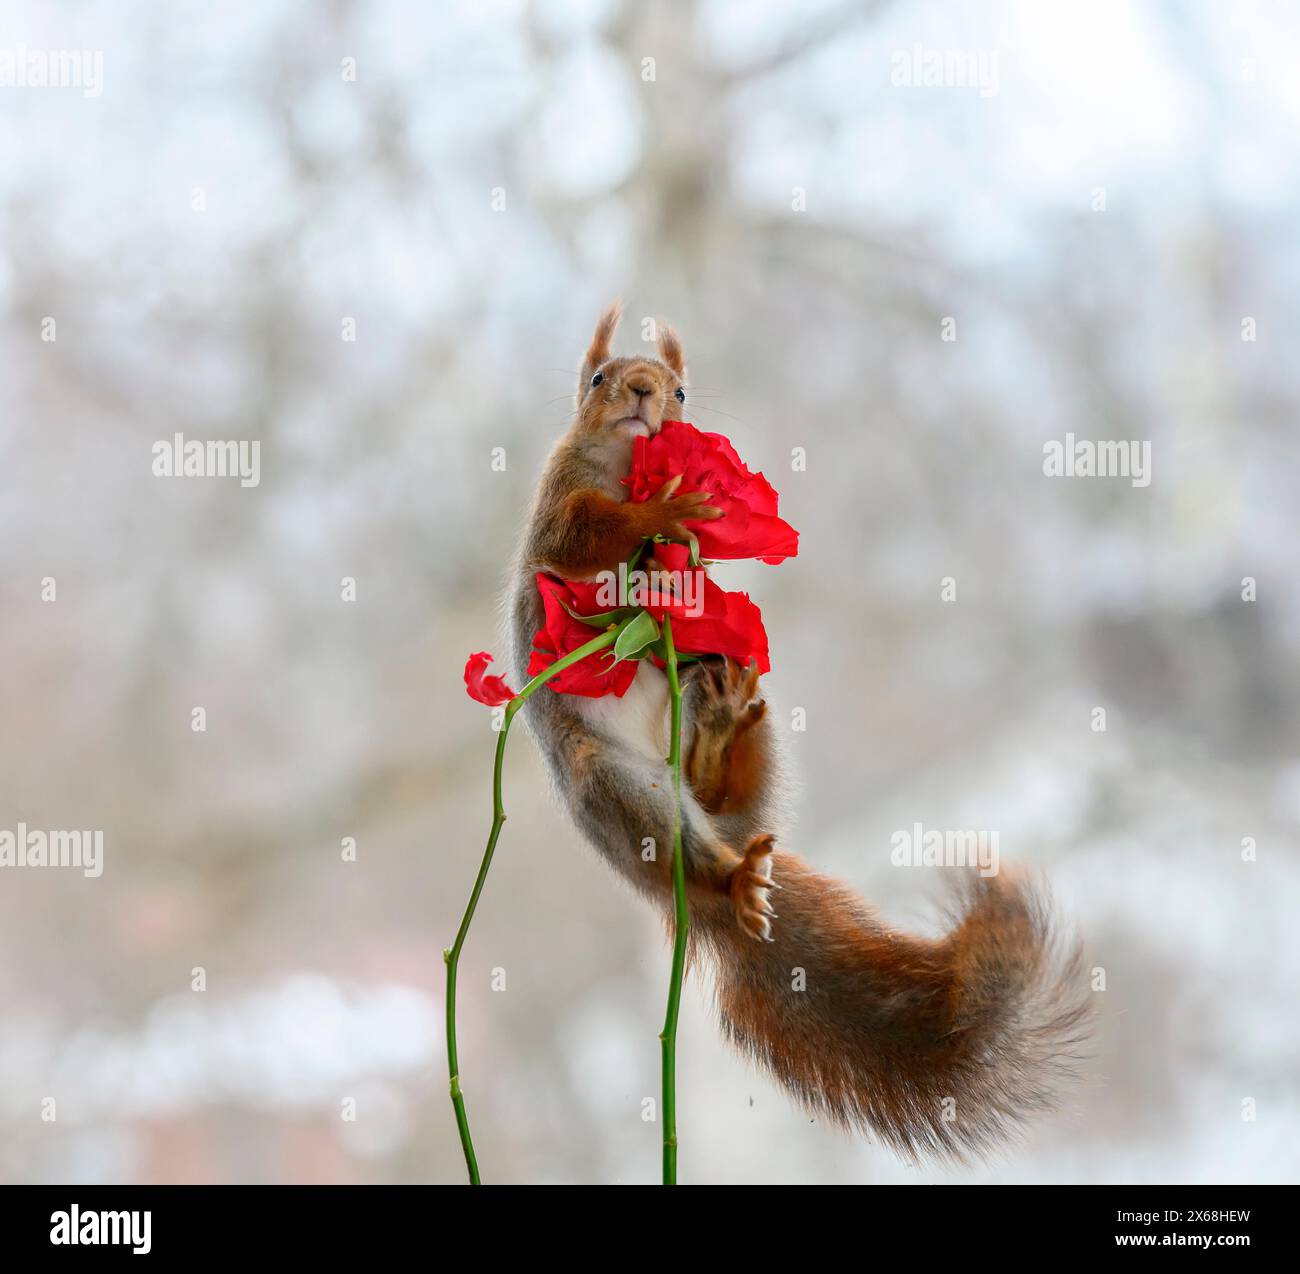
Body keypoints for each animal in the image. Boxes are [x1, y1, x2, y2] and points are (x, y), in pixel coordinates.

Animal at [504, 304, 1086, 1159]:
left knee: (722, 776)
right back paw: (728, 878)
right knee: (686, 844)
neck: (622, 466)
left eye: (681, 389)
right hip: (614, 787)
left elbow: (688, 570)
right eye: (599, 377)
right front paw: (662, 511)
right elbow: (581, 538)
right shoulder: (559, 503)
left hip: (734, 730)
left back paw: (719, 734)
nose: (642, 390)